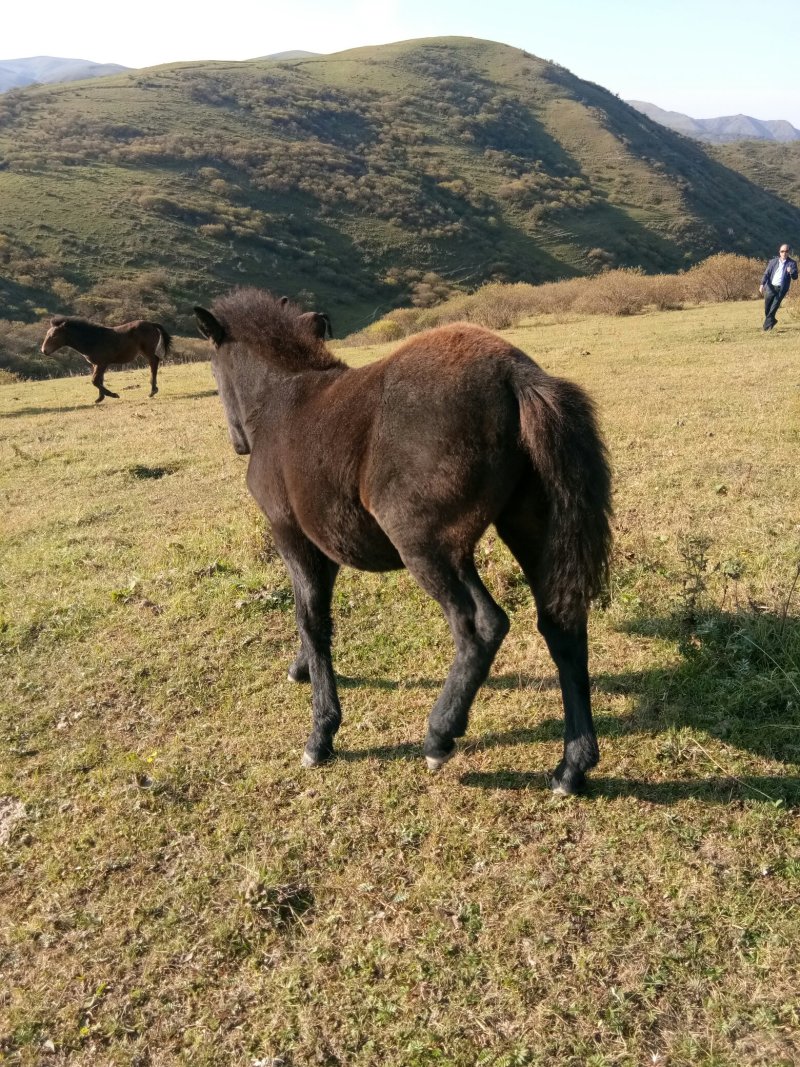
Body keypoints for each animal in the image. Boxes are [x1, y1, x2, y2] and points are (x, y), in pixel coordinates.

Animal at [40, 316, 172, 403]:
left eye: (54, 336)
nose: (43, 350)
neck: (93, 339)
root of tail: (152, 323)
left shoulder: (102, 363)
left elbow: (94, 381)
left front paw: (113, 395)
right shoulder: (96, 364)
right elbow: (99, 380)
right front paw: (100, 398)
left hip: (148, 351)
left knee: (153, 365)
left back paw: (152, 391)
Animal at [194, 289, 612, 795]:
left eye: (213, 370)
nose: (238, 443)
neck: (283, 401)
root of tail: (516, 375)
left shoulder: (290, 534)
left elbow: (310, 620)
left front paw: (321, 734)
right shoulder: (327, 544)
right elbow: (316, 615)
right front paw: (301, 669)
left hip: (428, 547)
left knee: (482, 625)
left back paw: (439, 736)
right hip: (528, 528)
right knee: (563, 626)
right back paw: (572, 766)